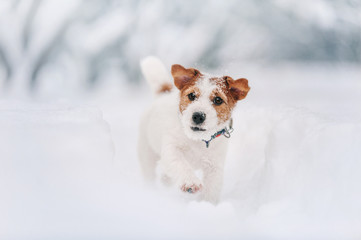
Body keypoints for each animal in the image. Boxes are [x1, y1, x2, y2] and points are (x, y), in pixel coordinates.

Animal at [136, 56, 249, 204]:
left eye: (218, 100)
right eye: (191, 95)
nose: (198, 116)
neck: (197, 140)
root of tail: (164, 95)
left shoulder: (214, 166)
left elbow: (212, 188)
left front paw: (207, 205)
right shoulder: (171, 149)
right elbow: (180, 163)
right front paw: (190, 182)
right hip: (147, 154)